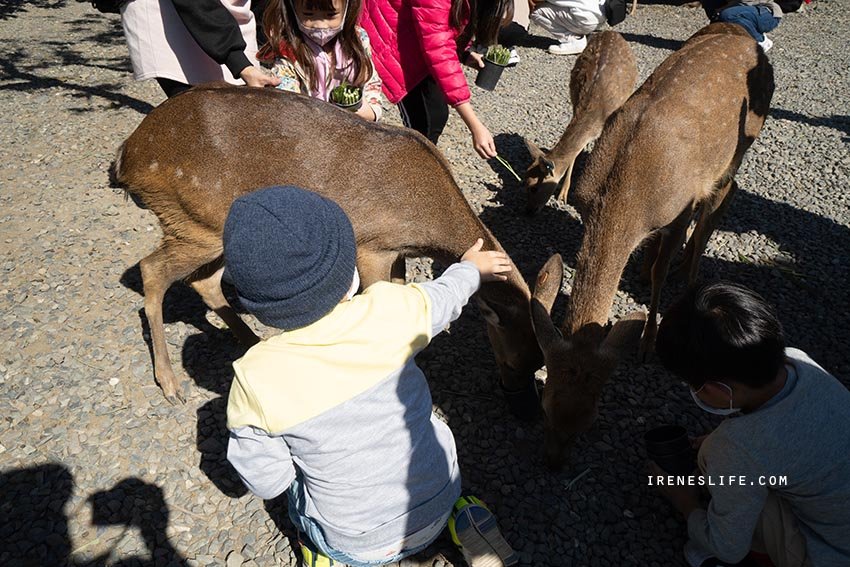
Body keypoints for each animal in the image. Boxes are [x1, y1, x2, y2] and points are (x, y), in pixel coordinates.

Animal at [524, 32, 636, 216]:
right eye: (524, 181)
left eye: (534, 187)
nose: (529, 211)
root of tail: (612, 32)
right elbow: (574, 155)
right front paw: (563, 193)